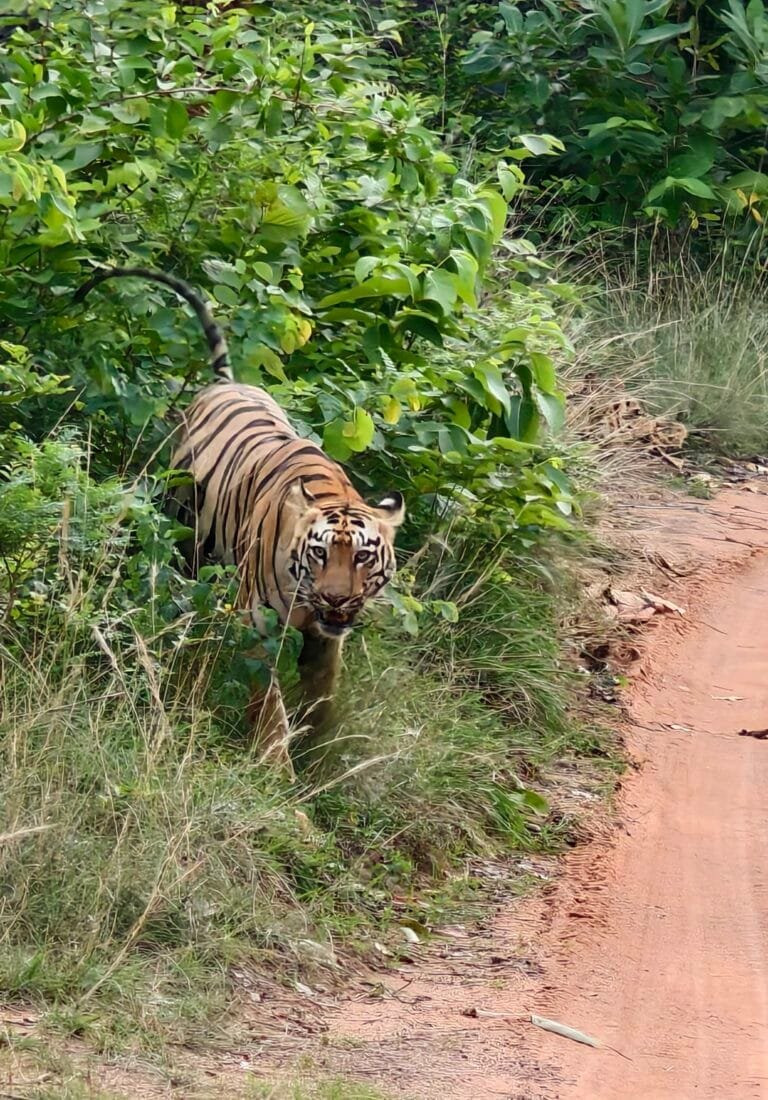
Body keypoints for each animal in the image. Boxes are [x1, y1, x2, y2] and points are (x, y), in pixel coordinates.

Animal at [74, 267, 405, 773]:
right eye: (319, 552)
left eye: (364, 557)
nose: (336, 599)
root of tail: (226, 383)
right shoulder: (260, 622)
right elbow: (270, 702)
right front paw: (274, 765)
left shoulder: (326, 638)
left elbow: (321, 694)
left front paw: (319, 754)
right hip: (185, 534)